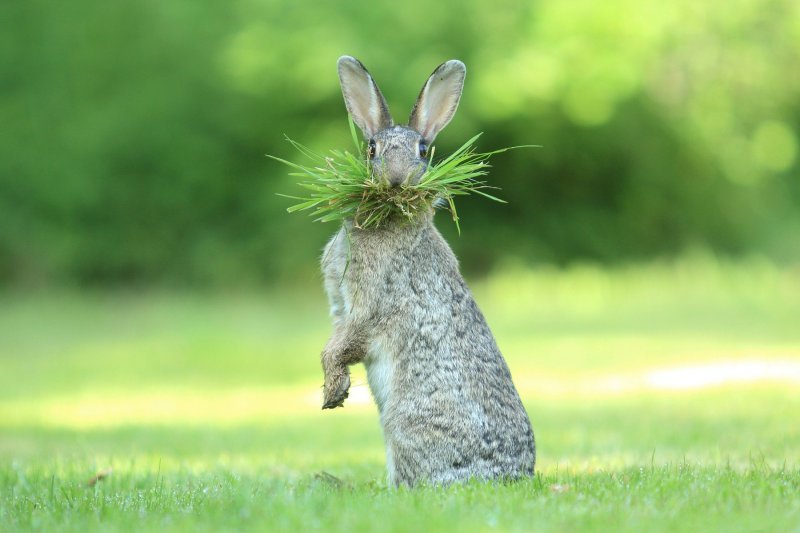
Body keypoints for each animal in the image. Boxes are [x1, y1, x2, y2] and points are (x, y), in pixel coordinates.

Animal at [320, 55, 536, 486]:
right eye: (372, 148)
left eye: (423, 149)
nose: (396, 179)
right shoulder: (340, 307)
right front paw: (334, 390)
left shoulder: (369, 305)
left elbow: (347, 342)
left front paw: (333, 391)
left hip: (404, 422)